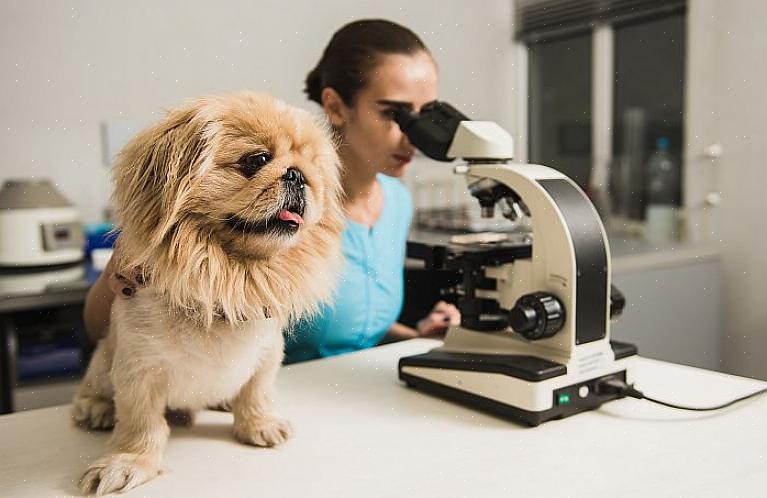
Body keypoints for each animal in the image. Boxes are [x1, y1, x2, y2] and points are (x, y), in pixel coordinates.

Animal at [73, 92, 344, 494]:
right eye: (257, 160)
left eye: (312, 170)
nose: (298, 175)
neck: (227, 275)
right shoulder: (138, 370)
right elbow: (140, 424)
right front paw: (127, 463)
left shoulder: (266, 355)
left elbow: (257, 392)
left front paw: (259, 425)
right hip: (103, 362)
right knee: (93, 390)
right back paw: (96, 408)